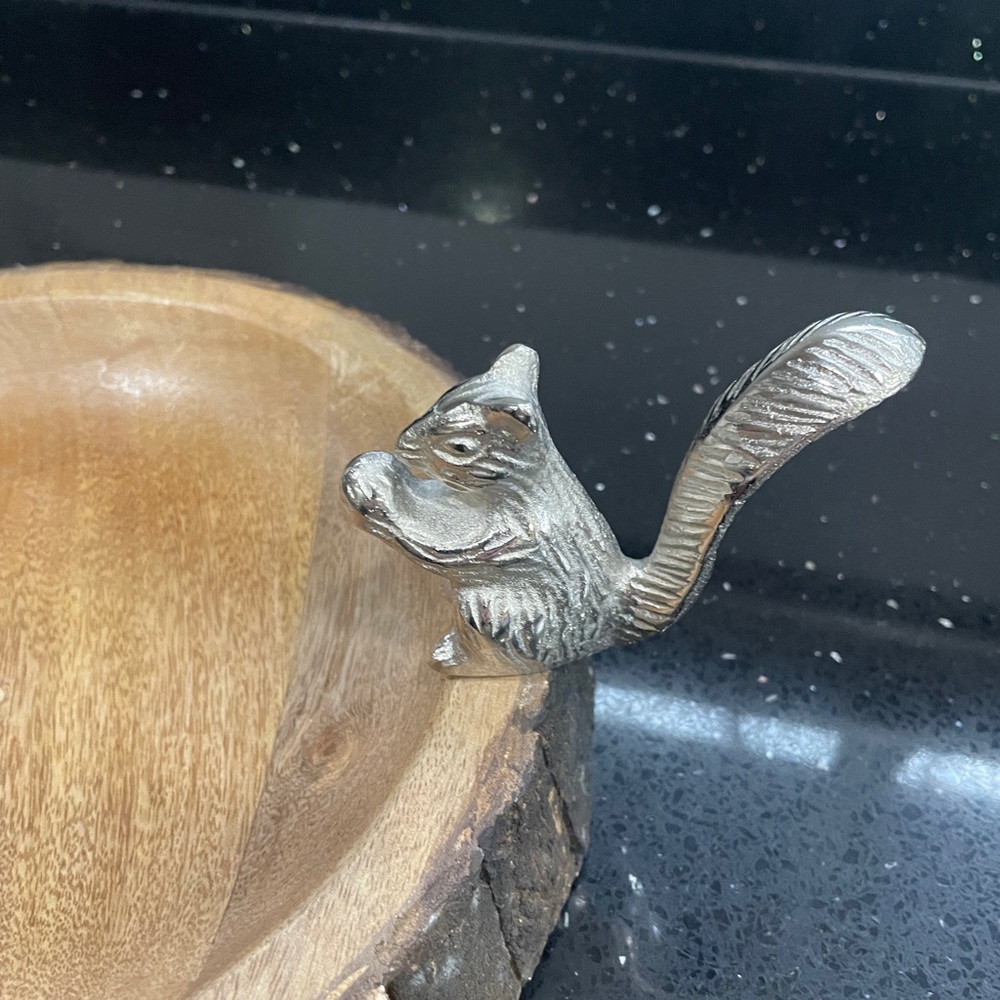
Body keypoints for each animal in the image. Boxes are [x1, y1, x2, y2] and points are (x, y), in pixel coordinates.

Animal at [343, 312, 924, 675]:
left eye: (459, 446)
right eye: (437, 401)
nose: (403, 440)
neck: (516, 484)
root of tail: (609, 621)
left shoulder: (511, 535)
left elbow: (438, 542)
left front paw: (371, 482)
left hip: (497, 612)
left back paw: (454, 662)